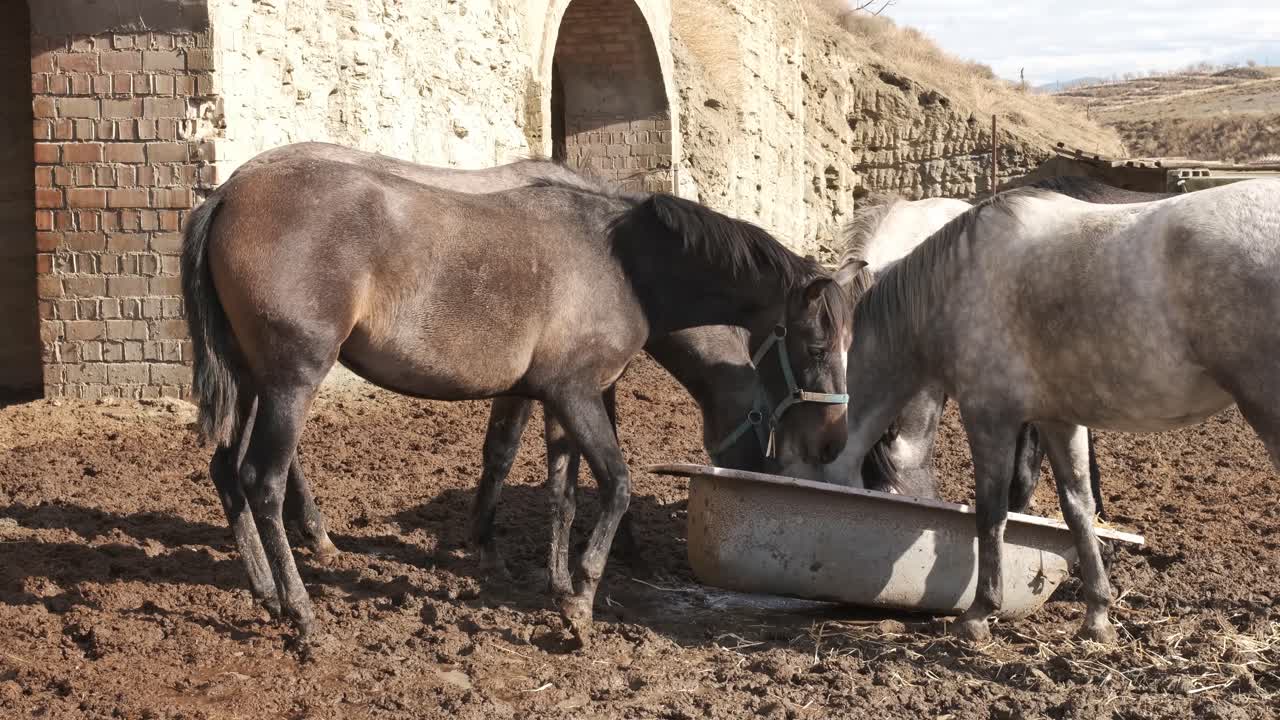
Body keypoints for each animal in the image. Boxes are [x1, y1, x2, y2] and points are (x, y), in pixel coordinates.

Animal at [180, 149, 855, 644]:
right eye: (816, 346)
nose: (832, 443)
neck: (619, 262)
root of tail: (230, 192)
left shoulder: (558, 398)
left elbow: (563, 492)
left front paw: (556, 586)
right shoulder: (575, 393)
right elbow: (614, 484)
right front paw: (581, 602)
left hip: (252, 383)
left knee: (227, 472)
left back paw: (268, 593)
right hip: (291, 381)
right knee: (263, 480)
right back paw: (300, 611)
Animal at [822, 179, 1280, 642]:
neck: (950, 284)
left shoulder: (989, 416)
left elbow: (992, 511)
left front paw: (979, 613)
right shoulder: (1057, 420)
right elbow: (1079, 508)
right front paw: (1097, 616)